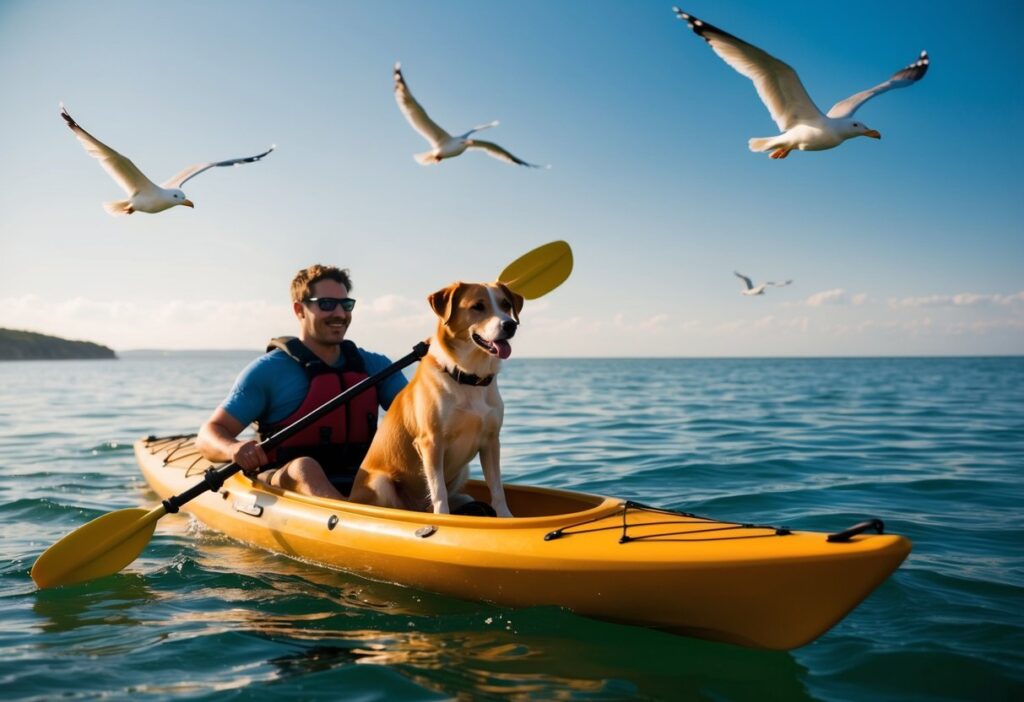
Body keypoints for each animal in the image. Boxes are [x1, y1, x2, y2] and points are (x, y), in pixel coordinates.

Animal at [352, 280, 528, 517]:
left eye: (505, 304)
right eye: (478, 306)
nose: (510, 325)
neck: (468, 377)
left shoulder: (491, 441)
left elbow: (497, 487)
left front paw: (504, 517)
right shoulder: (431, 442)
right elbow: (438, 490)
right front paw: (445, 518)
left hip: (463, 471)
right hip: (380, 482)